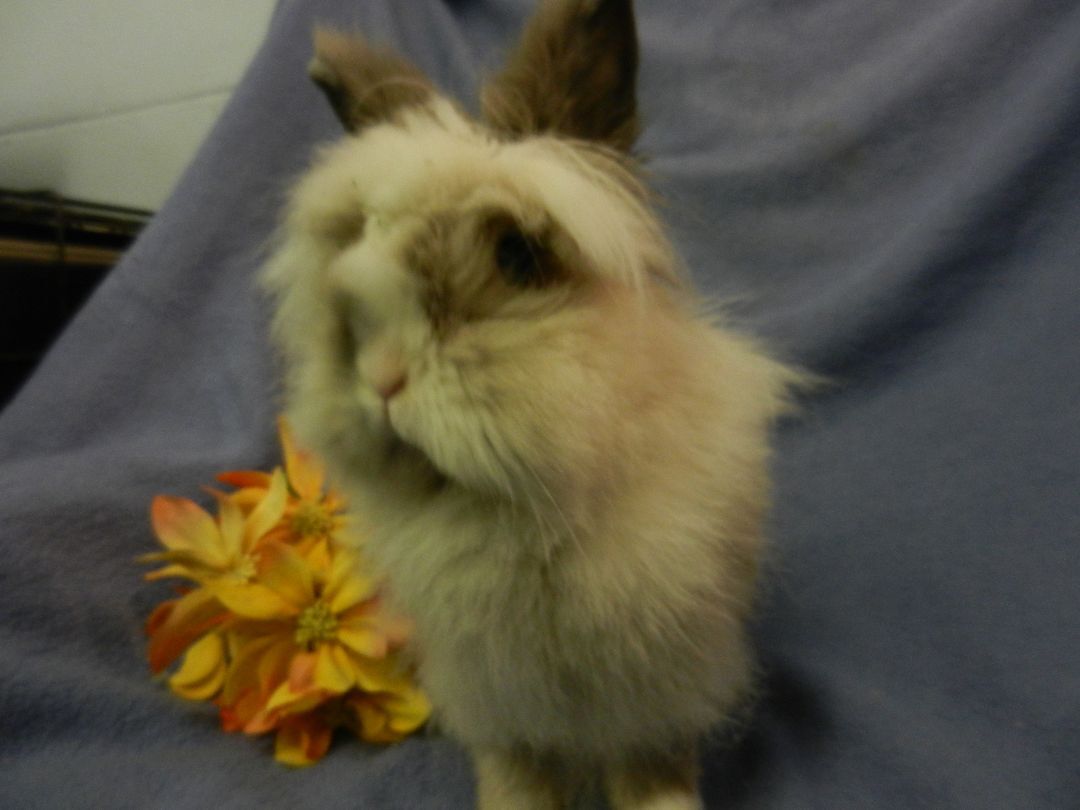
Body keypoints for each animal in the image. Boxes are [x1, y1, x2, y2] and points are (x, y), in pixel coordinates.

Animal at [263, 1, 802, 807]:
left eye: (517, 257)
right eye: (356, 245)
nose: (383, 378)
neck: (519, 514)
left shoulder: (657, 679)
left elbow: (651, 766)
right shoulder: (498, 696)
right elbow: (516, 769)